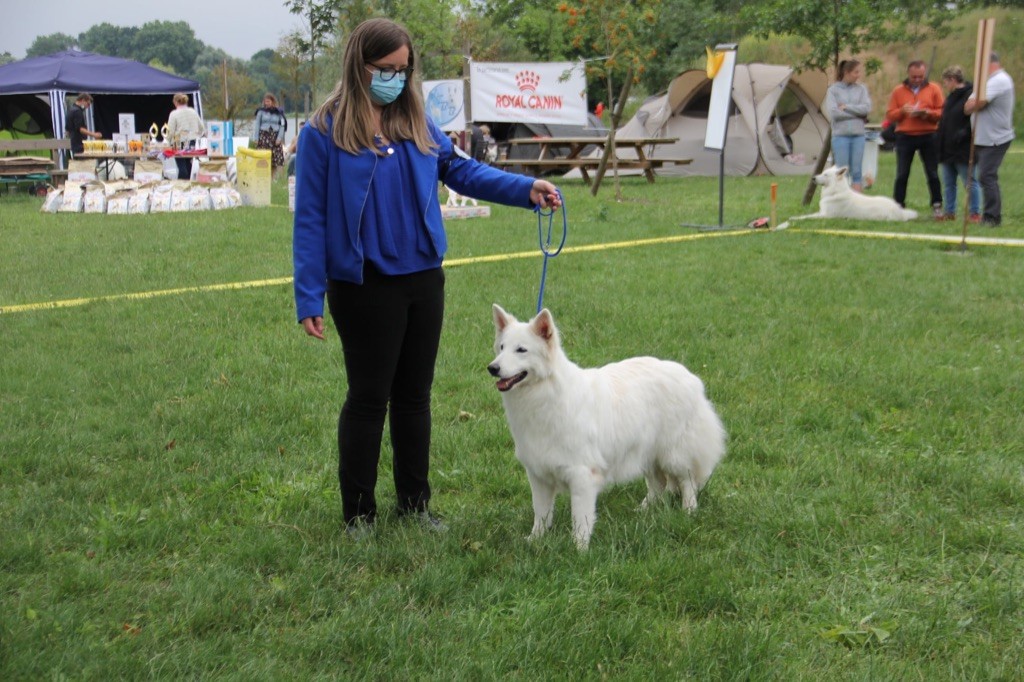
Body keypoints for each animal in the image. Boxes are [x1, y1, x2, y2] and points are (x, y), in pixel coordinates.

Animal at [487, 303, 729, 548]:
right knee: (658, 484)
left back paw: (689, 511)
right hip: (645, 453)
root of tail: (690, 376)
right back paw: (644, 510)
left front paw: (579, 549)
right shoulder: (538, 475)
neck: (544, 395)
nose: (492, 368)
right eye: (501, 348)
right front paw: (535, 540)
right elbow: (541, 513)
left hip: (674, 455)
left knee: (687, 481)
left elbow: (580, 520)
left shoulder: (582, 476)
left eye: (521, 350)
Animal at [774, 164, 921, 229]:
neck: (835, 191)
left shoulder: (826, 216)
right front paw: (795, 217)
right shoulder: (821, 212)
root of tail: (900, 211)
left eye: (825, 174)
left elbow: (807, 217)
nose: (813, 178)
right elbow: (806, 215)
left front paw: (795, 218)